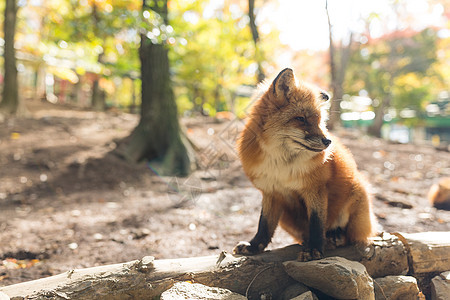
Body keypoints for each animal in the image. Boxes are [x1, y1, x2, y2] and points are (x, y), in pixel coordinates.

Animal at [232, 68, 376, 260]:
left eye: (319, 120)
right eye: (301, 118)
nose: (328, 141)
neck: (281, 166)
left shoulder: (315, 189)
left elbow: (316, 223)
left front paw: (315, 249)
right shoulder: (271, 191)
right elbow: (264, 225)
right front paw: (255, 246)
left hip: (357, 194)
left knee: (351, 236)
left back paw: (335, 237)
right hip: (286, 218)